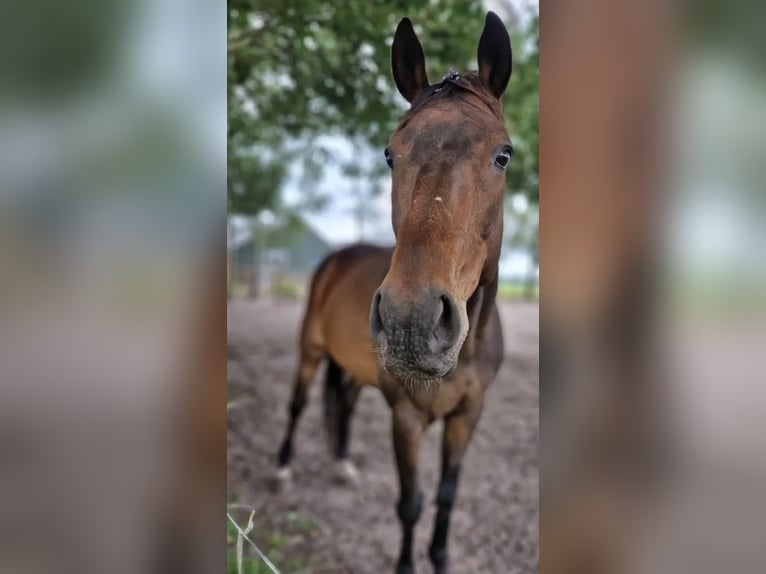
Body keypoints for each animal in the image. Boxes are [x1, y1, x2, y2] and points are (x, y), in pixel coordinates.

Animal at [277, 12, 513, 574]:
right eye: (390, 154)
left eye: (504, 155)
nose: (412, 320)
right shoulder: (406, 419)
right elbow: (411, 503)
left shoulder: (467, 416)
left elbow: (446, 498)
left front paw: (442, 559)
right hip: (310, 350)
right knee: (298, 404)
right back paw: (282, 469)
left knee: (343, 402)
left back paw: (341, 465)